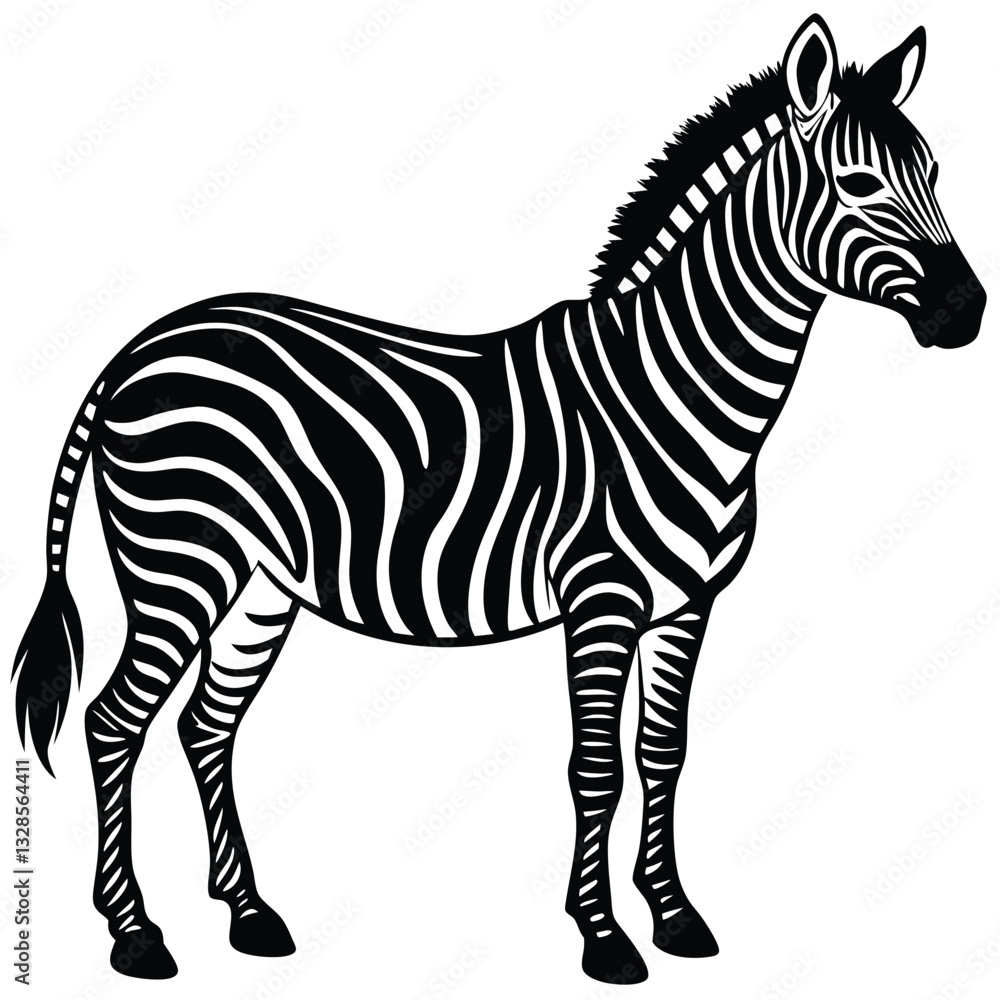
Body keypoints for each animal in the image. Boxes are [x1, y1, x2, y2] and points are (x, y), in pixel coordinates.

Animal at [11, 13, 985, 986]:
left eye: (935, 174)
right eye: (858, 184)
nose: (968, 313)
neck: (676, 388)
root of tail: (140, 345)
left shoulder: (688, 605)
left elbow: (661, 756)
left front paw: (674, 917)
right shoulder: (600, 598)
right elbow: (596, 767)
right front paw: (604, 937)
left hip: (258, 586)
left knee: (205, 728)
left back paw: (248, 914)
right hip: (178, 563)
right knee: (113, 721)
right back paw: (134, 933)